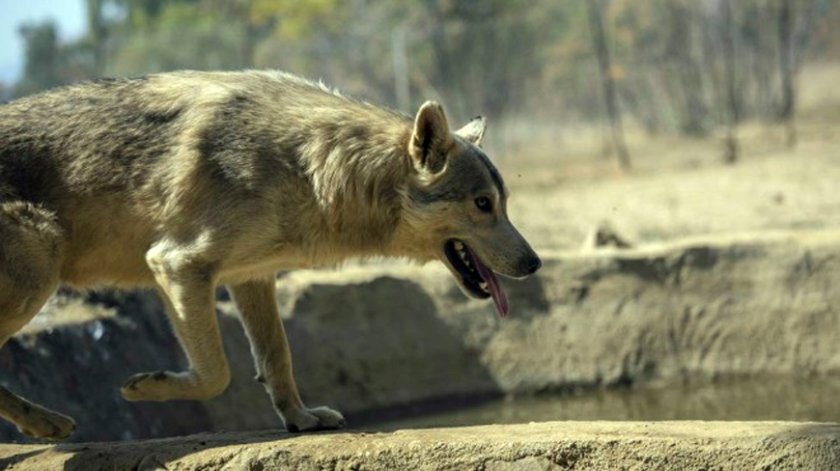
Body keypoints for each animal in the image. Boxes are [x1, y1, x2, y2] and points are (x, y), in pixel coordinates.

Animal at [0, 70, 540, 438]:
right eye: (483, 204)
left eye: (504, 202)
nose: (534, 263)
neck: (309, 166)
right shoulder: (176, 265)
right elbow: (216, 375)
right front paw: (146, 386)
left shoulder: (251, 277)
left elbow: (277, 359)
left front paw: (300, 419)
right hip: (42, 256)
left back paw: (43, 424)